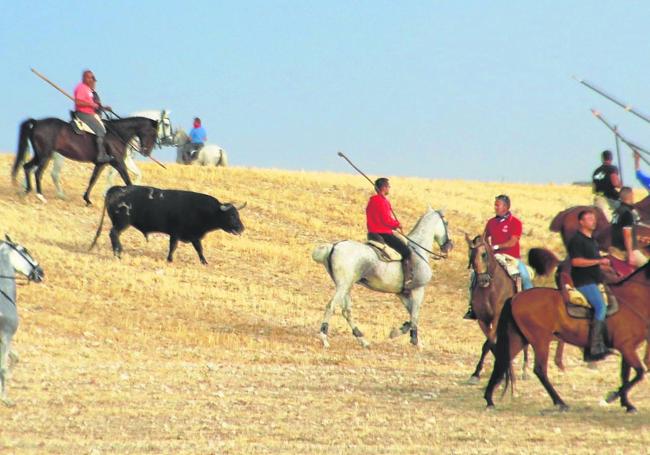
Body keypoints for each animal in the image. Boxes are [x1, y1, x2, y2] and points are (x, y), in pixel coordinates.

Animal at [0, 237, 43, 408]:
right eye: (25, 250)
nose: (41, 272)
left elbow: (15, 358)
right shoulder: (6, 337)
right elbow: (3, 369)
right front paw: (5, 398)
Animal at [11, 116, 158, 206]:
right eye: (153, 134)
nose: (146, 153)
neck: (116, 134)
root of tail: (37, 122)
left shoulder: (101, 164)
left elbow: (92, 180)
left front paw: (87, 199)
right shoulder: (118, 163)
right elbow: (128, 181)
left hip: (39, 155)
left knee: (26, 167)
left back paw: (26, 192)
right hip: (44, 155)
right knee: (37, 172)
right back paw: (40, 196)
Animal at [90, 185, 244, 264]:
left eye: (238, 214)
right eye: (231, 215)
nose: (241, 229)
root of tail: (116, 188)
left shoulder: (194, 236)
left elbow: (199, 249)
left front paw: (204, 262)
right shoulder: (176, 233)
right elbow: (174, 247)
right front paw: (170, 259)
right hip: (122, 223)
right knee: (113, 234)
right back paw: (118, 253)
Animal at [466, 237, 560, 382]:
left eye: (484, 254)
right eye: (470, 255)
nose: (483, 280)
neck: (490, 289)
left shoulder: (497, 318)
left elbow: (489, 344)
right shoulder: (482, 320)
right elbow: (491, 344)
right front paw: (477, 374)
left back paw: (525, 371)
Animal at [480, 251, 648, 416]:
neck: (631, 299)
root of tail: (515, 298)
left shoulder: (627, 348)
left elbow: (627, 375)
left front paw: (627, 404)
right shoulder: (626, 347)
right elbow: (639, 373)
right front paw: (611, 397)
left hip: (519, 339)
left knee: (502, 361)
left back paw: (489, 400)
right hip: (540, 341)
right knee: (540, 370)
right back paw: (560, 402)